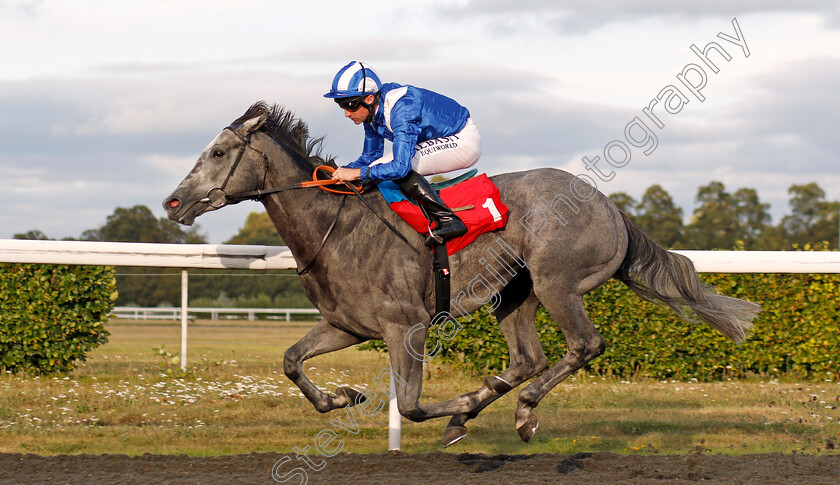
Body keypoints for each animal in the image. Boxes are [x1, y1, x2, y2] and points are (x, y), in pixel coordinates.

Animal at [164, 103, 760, 446]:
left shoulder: (405, 325)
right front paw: (342, 398)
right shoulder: (347, 325)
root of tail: (611, 207)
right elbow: (291, 361)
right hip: (514, 295)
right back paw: (491, 404)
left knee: (583, 346)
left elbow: (410, 405)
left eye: (219, 151)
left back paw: (520, 411)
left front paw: (448, 409)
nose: (173, 202)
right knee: (527, 359)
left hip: (557, 283)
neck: (336, 226)